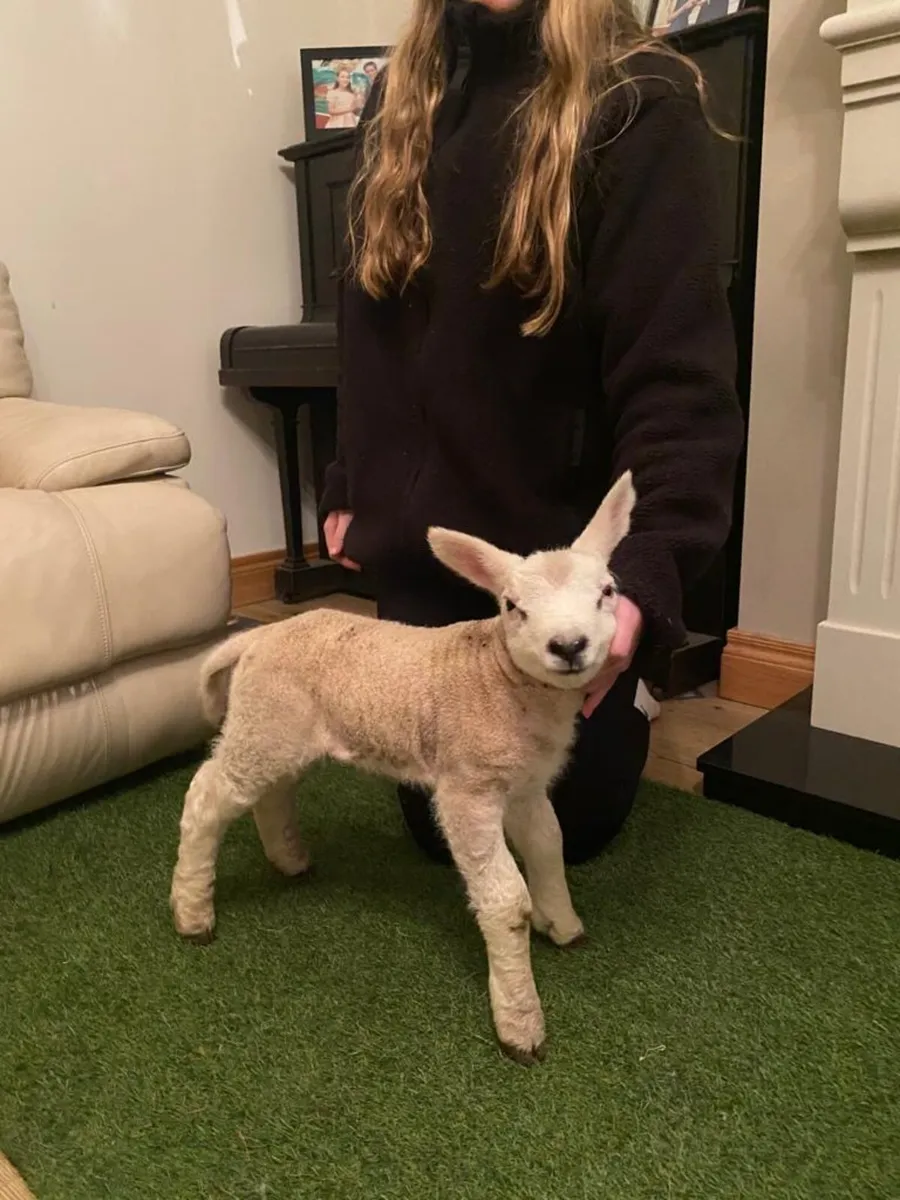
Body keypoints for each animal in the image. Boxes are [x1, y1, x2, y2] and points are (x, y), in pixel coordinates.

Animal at [170, 472, 636, 1064]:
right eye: (512, 606)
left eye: (607, 592)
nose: (569, 645)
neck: (502, 679)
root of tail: (258, 636)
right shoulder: (469, 787)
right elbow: (506, 900)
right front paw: (520, 1021)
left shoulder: (525, 785)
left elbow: (550, 847)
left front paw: (565, 925)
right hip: (263, 723)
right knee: (207, 796)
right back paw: (192, 913)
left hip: (283, 731)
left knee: (272, 792)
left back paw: (290, 861)